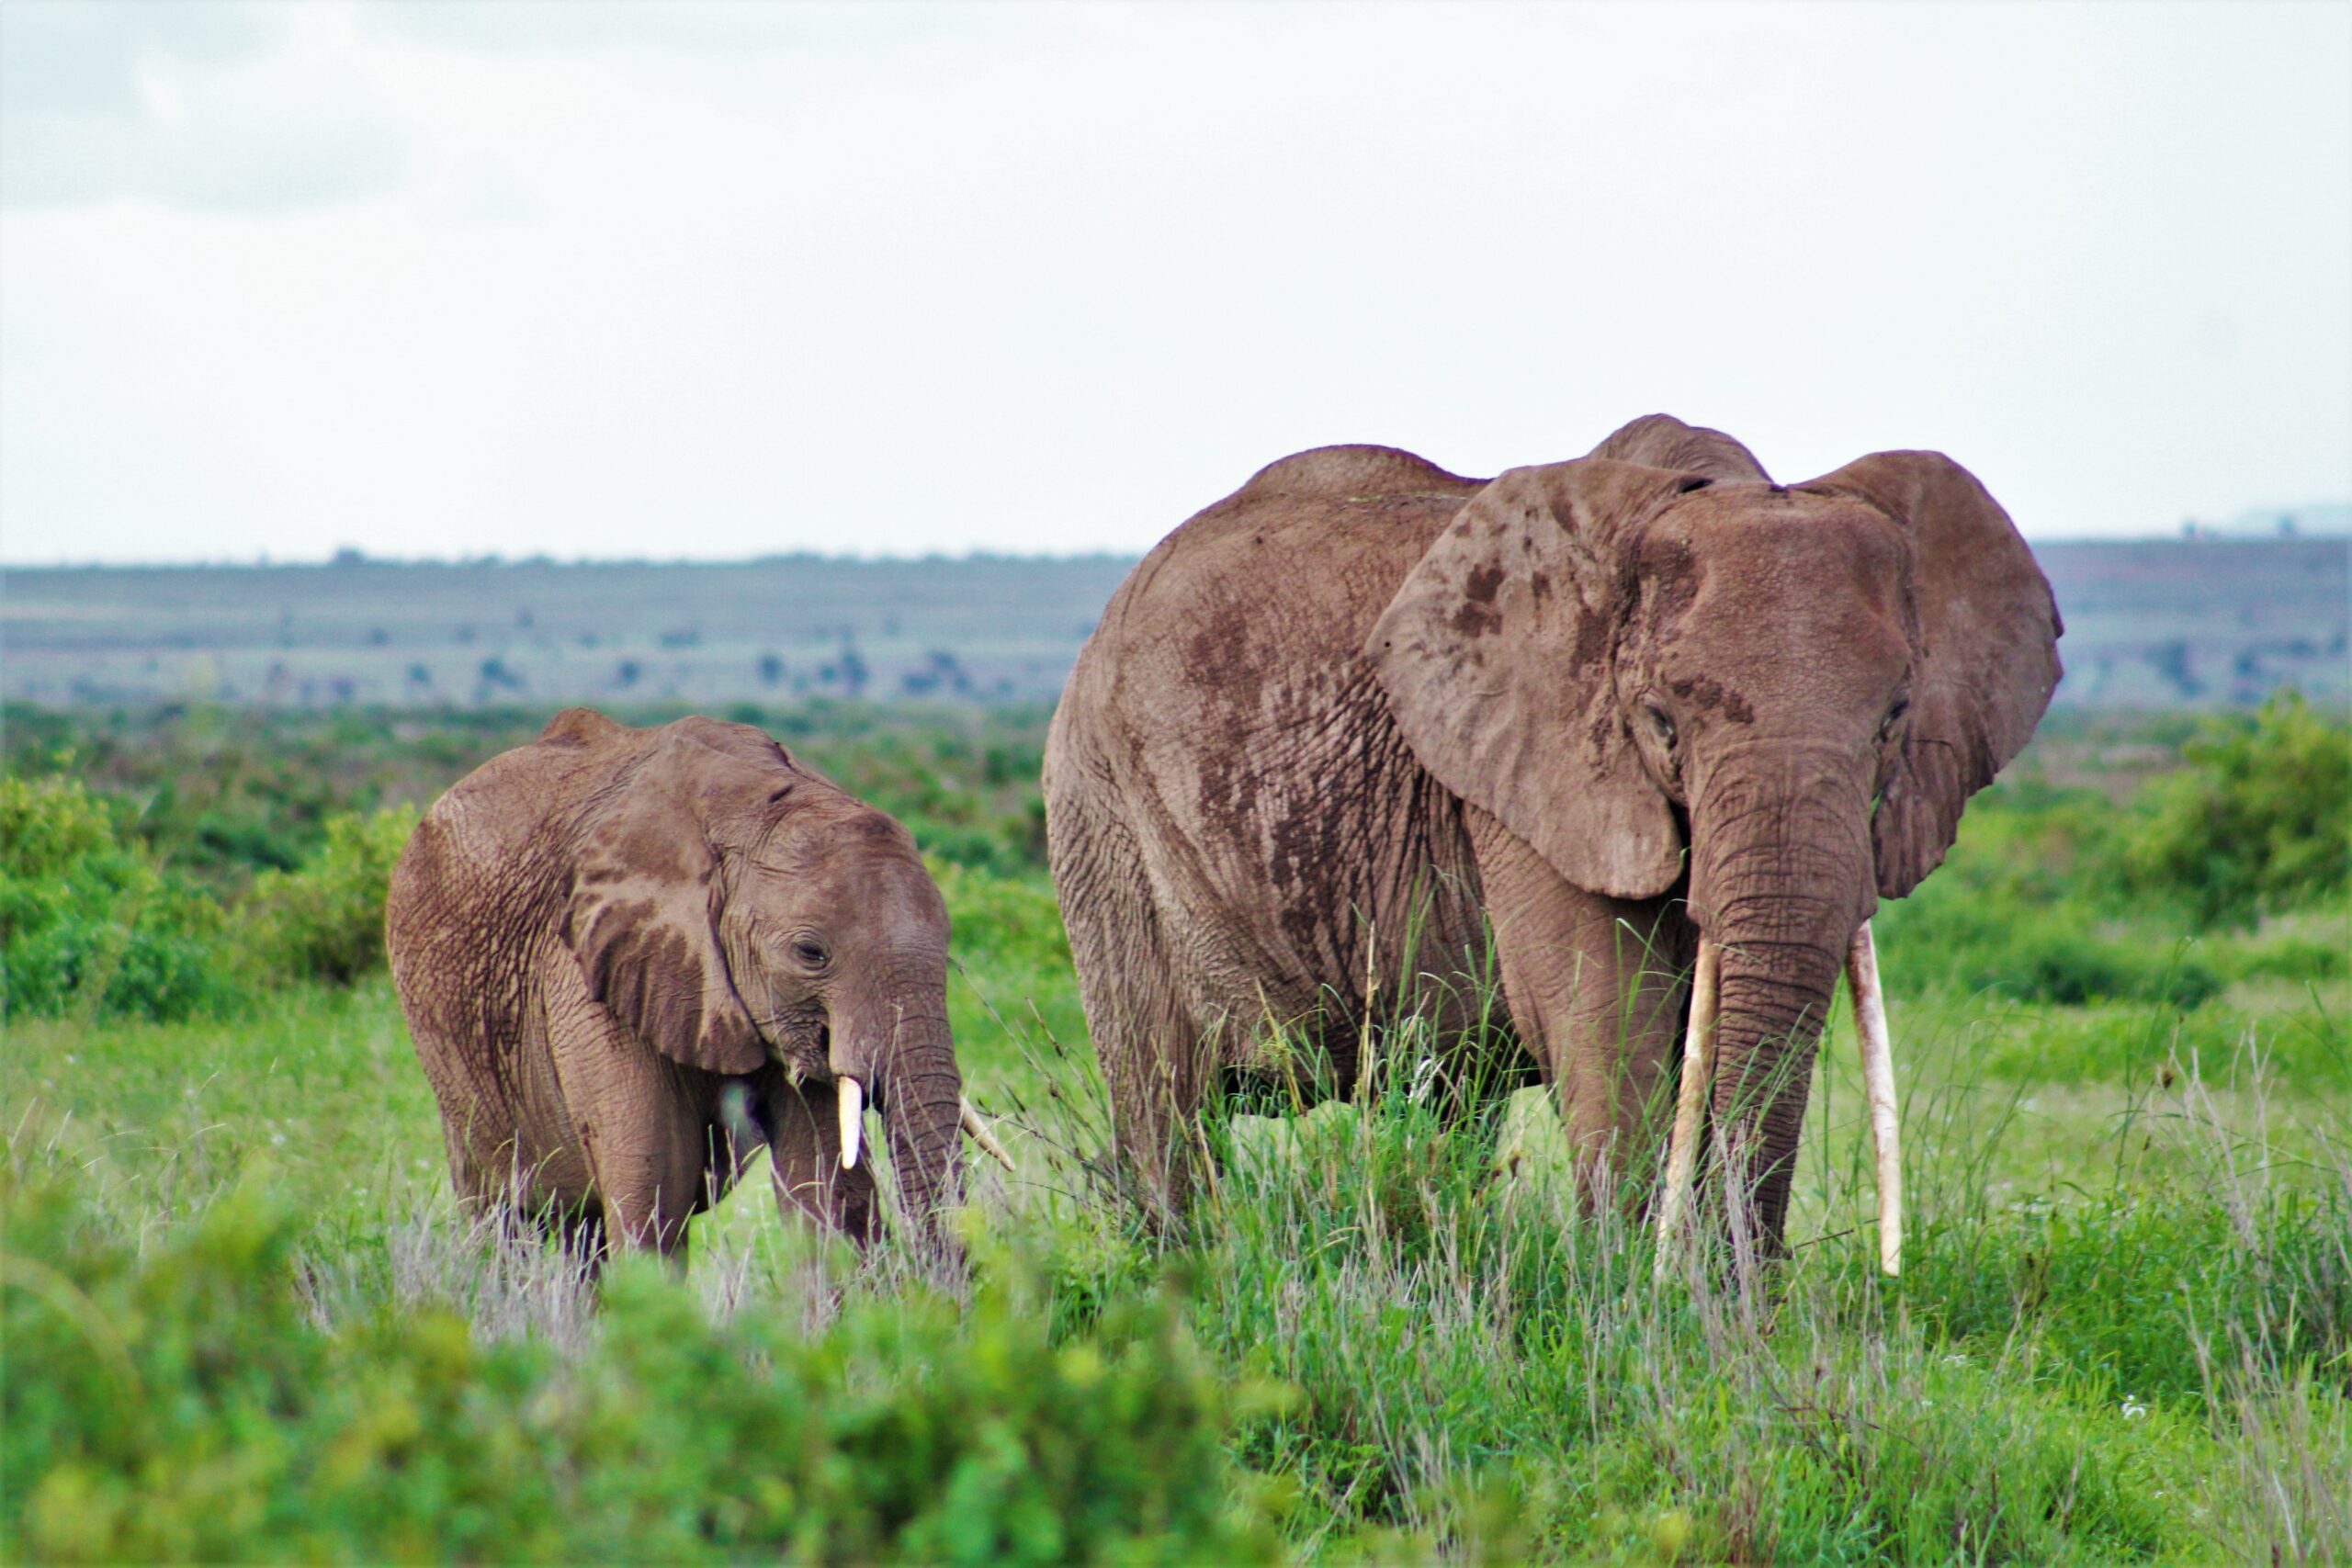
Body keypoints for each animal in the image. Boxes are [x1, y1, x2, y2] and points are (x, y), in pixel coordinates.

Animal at [388, 709, 1011, 1259]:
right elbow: (654, 1192)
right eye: (811, 953)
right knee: (505, 1215)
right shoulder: (593, 972)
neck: (749, 808)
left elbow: (825, 1189)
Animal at [1048, 413, 2060, 1259]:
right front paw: (1640, 1299)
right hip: (1101, 814)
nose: (1756, 1294)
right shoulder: (1530, 773)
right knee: (1164, 1096)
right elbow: (1609, 1016)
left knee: (1449, 1099)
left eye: (1894, 717)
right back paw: (1181, 1267)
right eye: (1660, 722)